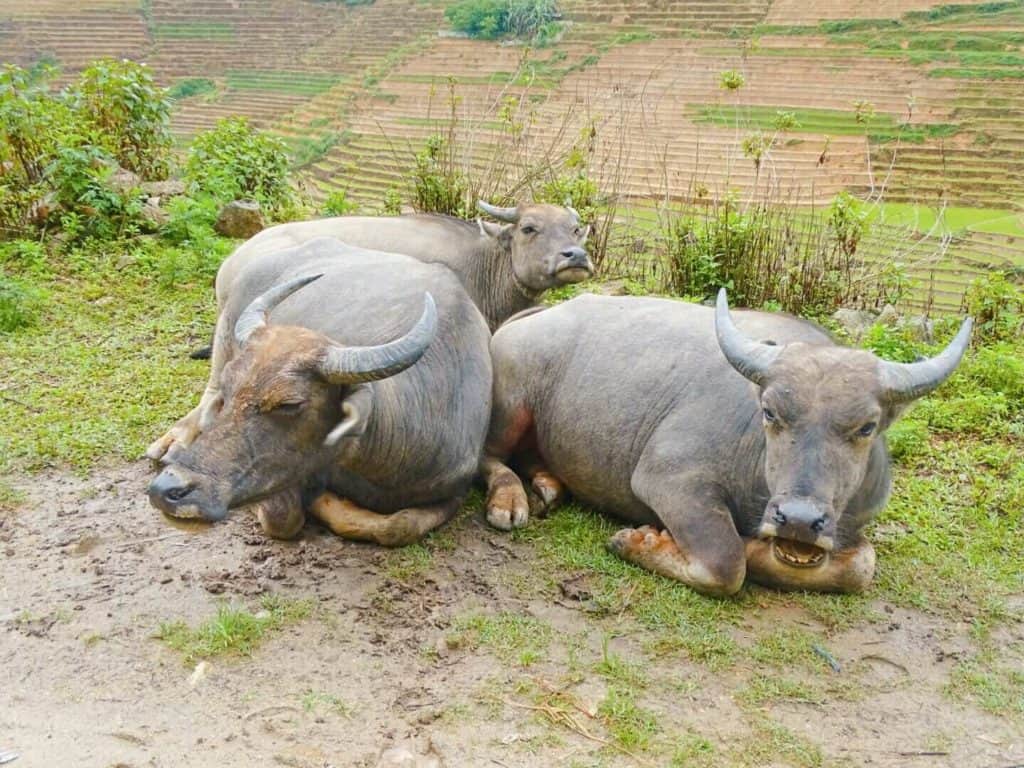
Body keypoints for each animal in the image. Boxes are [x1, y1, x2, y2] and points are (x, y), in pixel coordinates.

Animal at [146, 199, 593, 462]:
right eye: (529, 228)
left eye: (575, 228)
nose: (576, 256)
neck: (484, 264)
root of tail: (234, 263)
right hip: (227, 331)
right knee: (212, 392)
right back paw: (174, 438)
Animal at [147, 237, 491, 544]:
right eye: (230, 391)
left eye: (289, 404)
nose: (166, 490)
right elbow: (283, 517)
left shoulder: (454, 492)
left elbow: (399, 526)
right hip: (224, 330)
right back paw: (172, 443)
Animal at [475, 290, 970, 598]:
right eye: (770, 412)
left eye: (866, 427)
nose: (799, 520)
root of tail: (535, 316)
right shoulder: (668, 479)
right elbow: (727, 563)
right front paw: (640, 541)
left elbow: (860, 567)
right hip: (512, 404)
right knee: (491, 456)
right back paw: (511, 499)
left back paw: (548, 484)